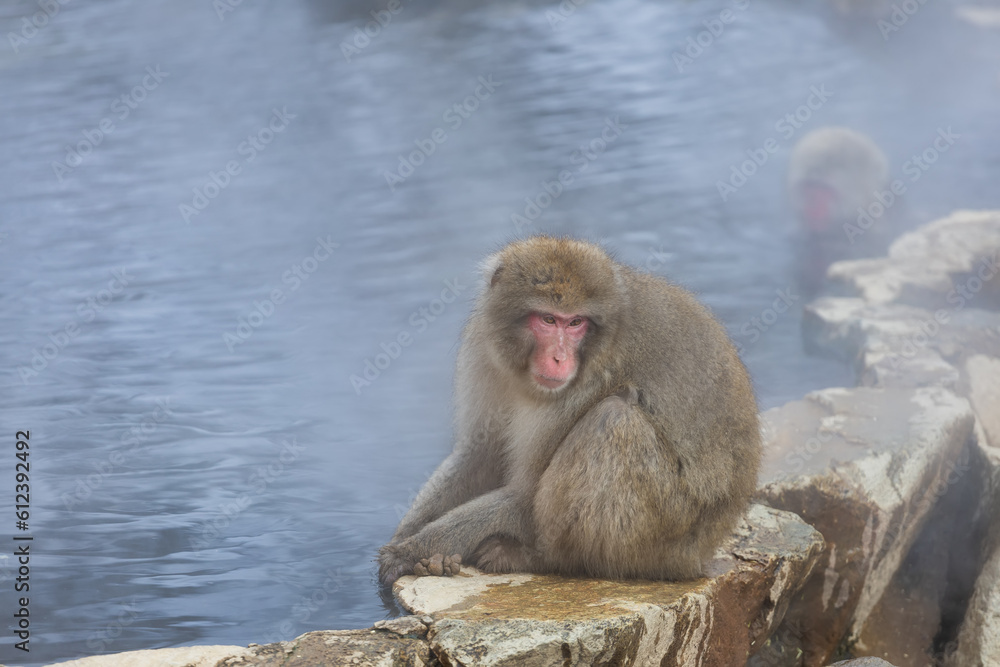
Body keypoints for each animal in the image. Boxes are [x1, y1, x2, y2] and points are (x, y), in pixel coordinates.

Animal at [378, 237, 762, 586]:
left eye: (575, 323)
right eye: (548, 319)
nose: (560, 359)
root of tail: (701, 555)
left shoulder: (591, 379)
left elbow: (524, 493)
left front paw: (413, 549)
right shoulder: (484, 352)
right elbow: (479, 453)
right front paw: (410, 536)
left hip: (670, 532)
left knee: (614, 419)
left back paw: (541, 558)